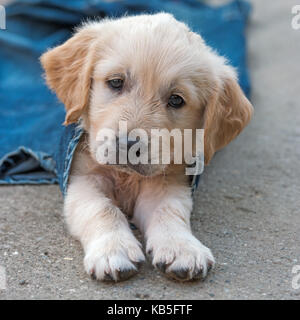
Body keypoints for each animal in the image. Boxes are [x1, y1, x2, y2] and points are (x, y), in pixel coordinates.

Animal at [40, 13, 253, 282]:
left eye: (176, 100)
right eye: (116, 82)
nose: (128, 145)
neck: (126, 177)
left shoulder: (168, 180)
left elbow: (169, 210)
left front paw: (182, 247)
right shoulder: (81, 179)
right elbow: (102, 209)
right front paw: (113, 249)